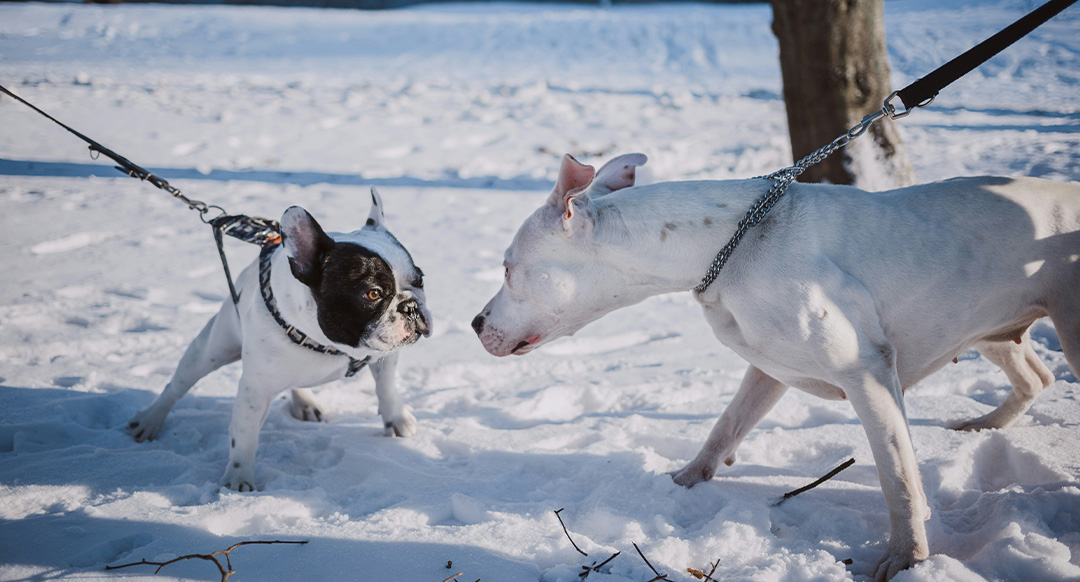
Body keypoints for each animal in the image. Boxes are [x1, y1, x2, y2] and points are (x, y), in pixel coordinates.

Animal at [127, 191, 429, 492]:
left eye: (420, 280)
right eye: (373, 293)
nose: (412, 307)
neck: (328, 344)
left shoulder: (386, 355)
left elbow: (386, 388)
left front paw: (397, 419)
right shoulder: (255, 389)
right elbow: (245, 434)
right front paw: (238, 479)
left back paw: (305, 402)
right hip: (211, 349)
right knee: (177, 386)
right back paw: (149, 421)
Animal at [475, 153, 1080, 582]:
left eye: (507, 268)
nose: (476, 324)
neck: (722, 247)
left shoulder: (867, 374)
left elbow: (898, 476)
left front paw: (906, 560)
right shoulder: (766, 369)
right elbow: (726, 425)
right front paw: (684, 482)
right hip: (992, 326)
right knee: (1036, 376)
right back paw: (982, 427)